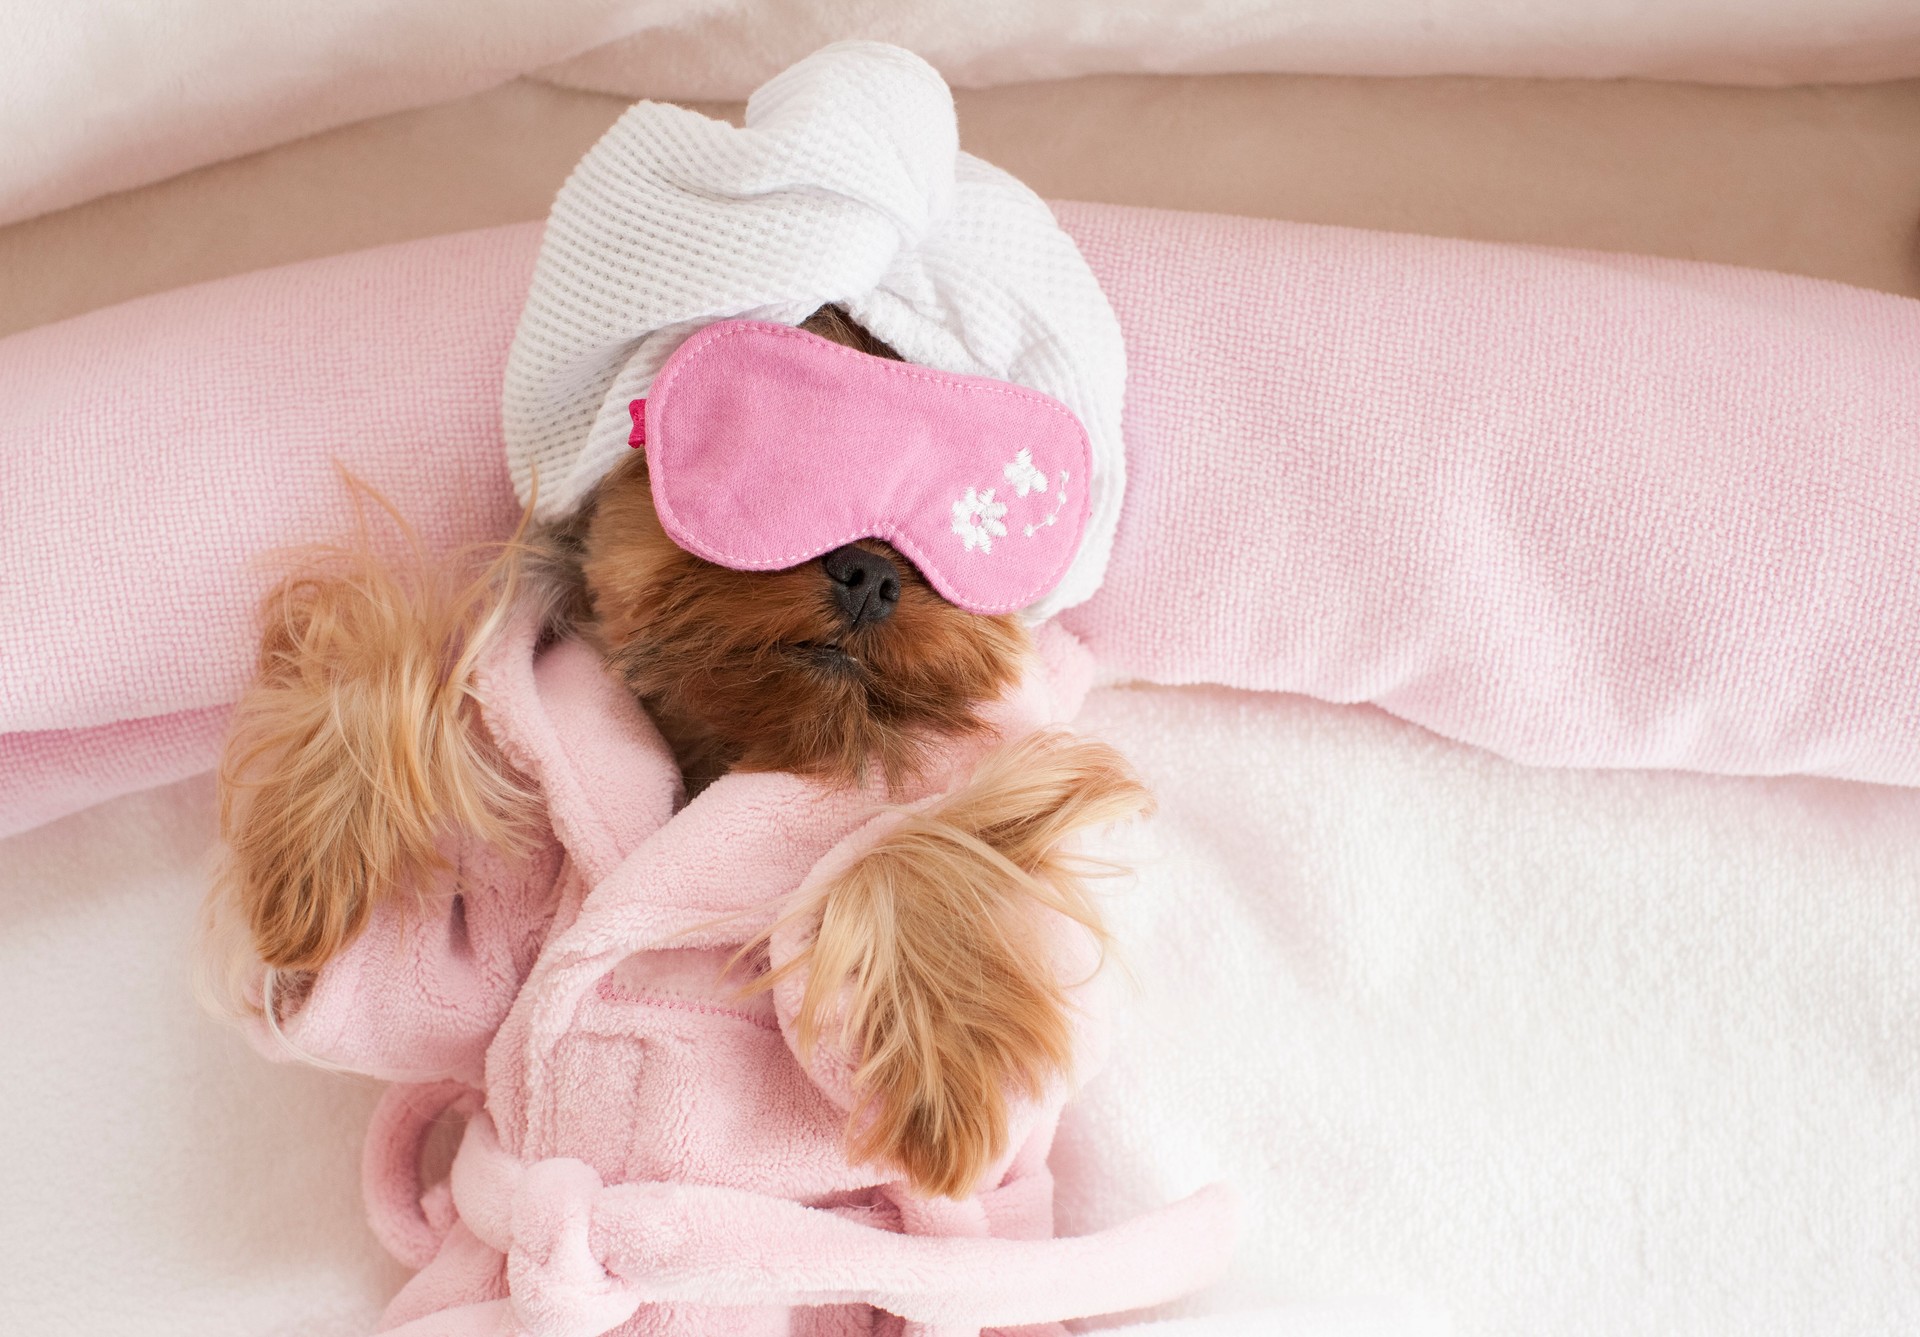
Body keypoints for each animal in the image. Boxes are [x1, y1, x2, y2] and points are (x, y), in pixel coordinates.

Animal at [214, 305, 1136, 1198]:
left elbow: (942, 842)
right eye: (762, 471)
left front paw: (943, 1049)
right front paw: (319, 837)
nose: (872, 573)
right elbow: (415, 1008)